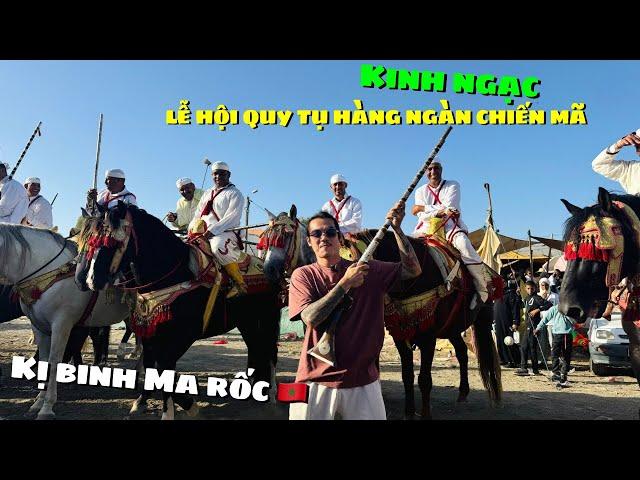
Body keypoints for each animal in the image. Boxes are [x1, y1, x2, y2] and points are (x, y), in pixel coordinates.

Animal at [0, 223, 130, 418]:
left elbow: (54, 362)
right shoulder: (39, 328)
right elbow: (44, 362)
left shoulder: (62, 325)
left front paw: (47, 408)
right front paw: (38, 402)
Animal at [74, 203, 278, 420]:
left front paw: (176, 409)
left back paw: (272, 393)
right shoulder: (151, 329)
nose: (90, 280)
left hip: (266, 320)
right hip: (248, 322)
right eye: (90, 241)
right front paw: (143, 402)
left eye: (112, 241)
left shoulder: (184, 335)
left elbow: (164, 367)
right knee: (256, 349)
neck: (174, 274)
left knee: (269, 351)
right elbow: (151, 364)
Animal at [262, 208, 502, 418]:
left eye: (286, 235)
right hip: (451, 327)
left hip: (480, 321)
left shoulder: (426, 335)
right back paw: (462, 392)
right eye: (266, 239)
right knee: (461, 351)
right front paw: (407, 412)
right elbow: (406, 375)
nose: (268, 270)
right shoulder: (400, 331)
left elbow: (423, 379)